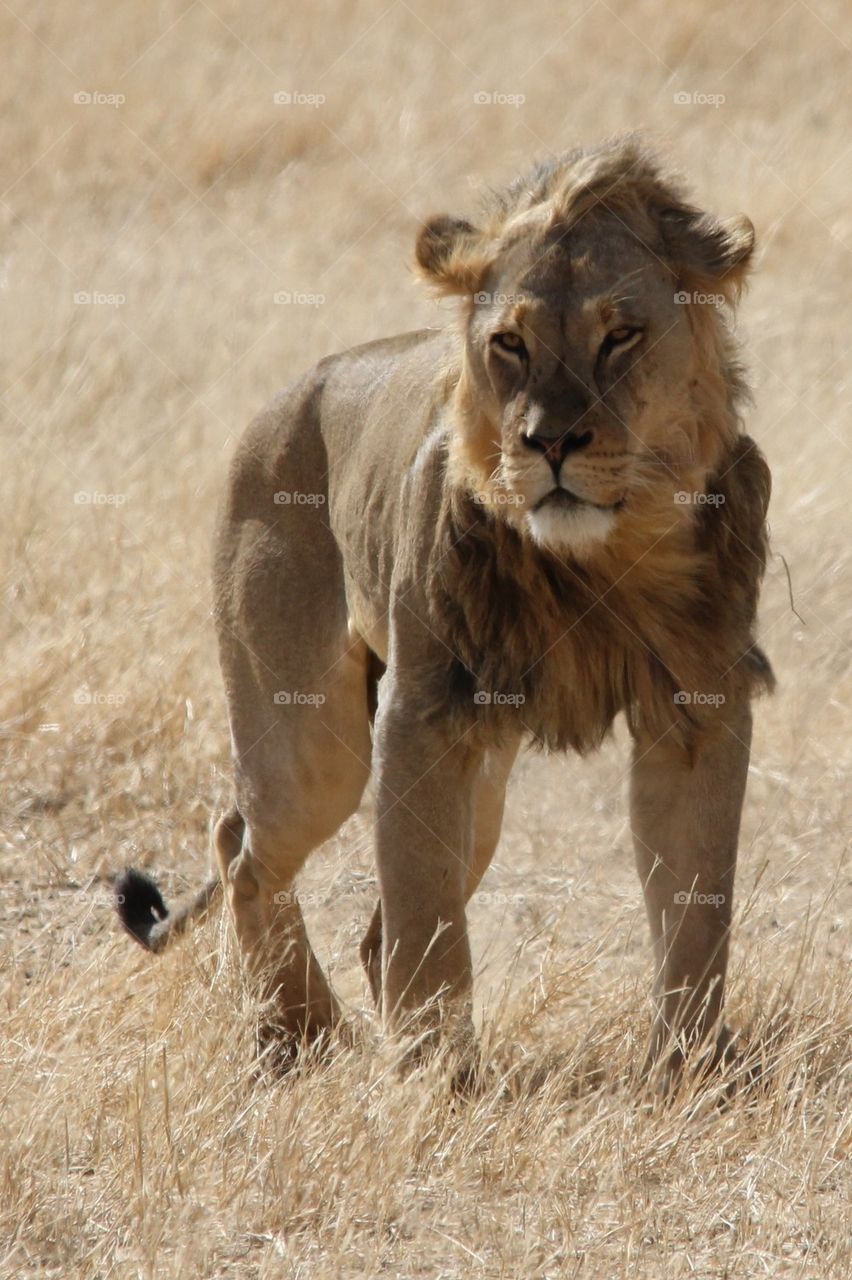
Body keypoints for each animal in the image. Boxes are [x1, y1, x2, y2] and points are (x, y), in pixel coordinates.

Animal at [117, 134, 774, 1082]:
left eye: (621, 335)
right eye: (510, 343)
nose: (550, 442)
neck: (600, 559)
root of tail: (289, 394)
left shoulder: (696, 708)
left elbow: (697, 912)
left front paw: (685, 1073)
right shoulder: (425, 711)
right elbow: (427, 917)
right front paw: (435, 1077)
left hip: (482, 779)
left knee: (362, 921)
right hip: (314, 747)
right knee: (242, 845)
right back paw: (298, 1035)